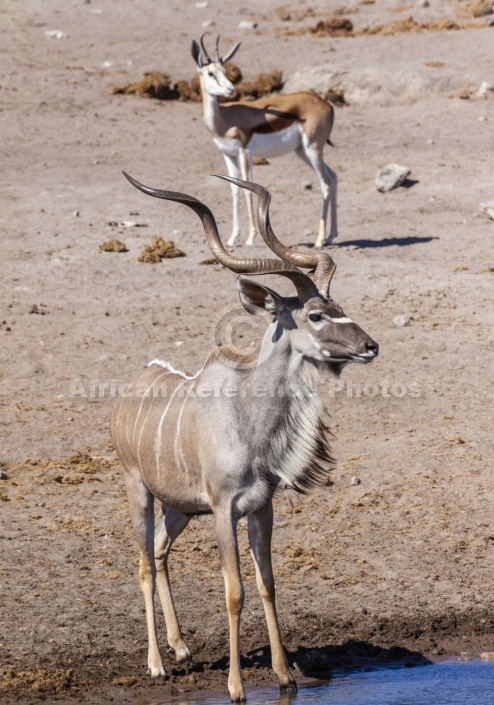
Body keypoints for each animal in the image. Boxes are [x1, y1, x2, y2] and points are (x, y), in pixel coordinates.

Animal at [110, 173, 376, 700]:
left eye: (338, 306)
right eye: (315, 315)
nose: (370, 346)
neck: (246, 419)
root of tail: (134, 388)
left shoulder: (260, 508)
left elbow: (268, 582)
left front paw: (284, 676)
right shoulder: (222, 511)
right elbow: (235, 590)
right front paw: (236, 687)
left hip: (178, 508)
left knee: (160, 551)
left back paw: (182, 649)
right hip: (139, 492)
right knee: (144, 564)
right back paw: (156, 664)